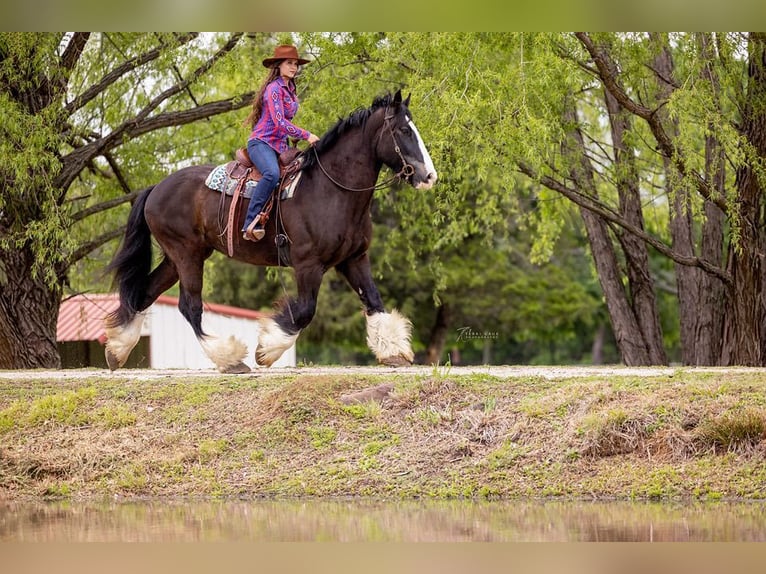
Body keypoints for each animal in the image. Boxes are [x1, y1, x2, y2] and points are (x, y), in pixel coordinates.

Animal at [104, 89, 438, 374]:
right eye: (404, 131)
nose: (429, 176)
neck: (331, 189)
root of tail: (154, 189)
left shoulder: (354, 259)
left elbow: (374, 301)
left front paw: (394, 351)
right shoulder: (308, 264)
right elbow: (304, 311)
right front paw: (266, 350)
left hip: (178, 258)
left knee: (144, 293)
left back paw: (116, 350)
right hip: (187, 255)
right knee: (190, 306)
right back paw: (229, 359)